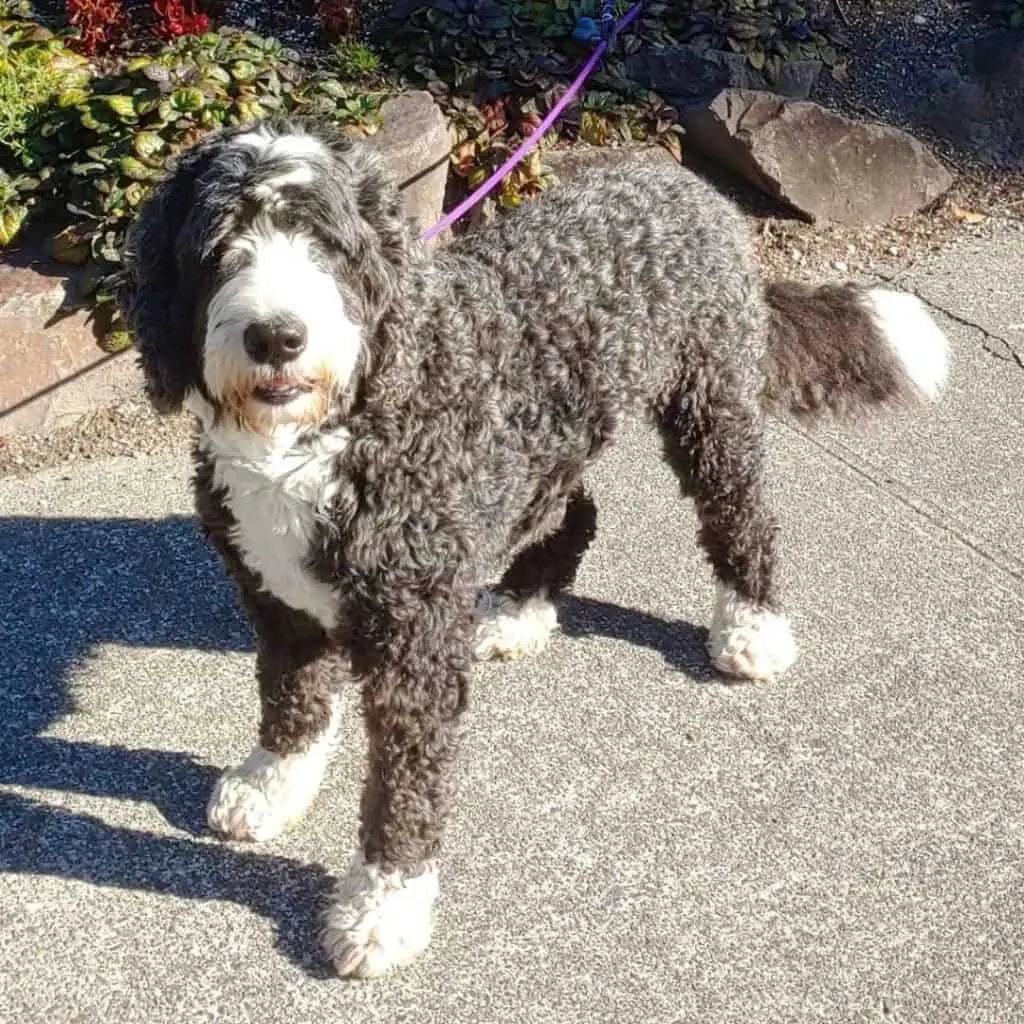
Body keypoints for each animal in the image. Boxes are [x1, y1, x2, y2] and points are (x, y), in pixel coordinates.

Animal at [119, 116, 950, 978]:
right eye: (219, 246)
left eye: (328, 245)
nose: (276, 336)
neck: (330, 432)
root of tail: (684, 185)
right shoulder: (275, 594)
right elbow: (292, 697)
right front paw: (275, 782)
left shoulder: (414, 639)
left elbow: (405, 782)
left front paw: (385, 905)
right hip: (547, 446)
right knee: (573, 517)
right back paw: (520, 609)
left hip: (709, 403)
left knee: (741, 512)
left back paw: (752, 623)